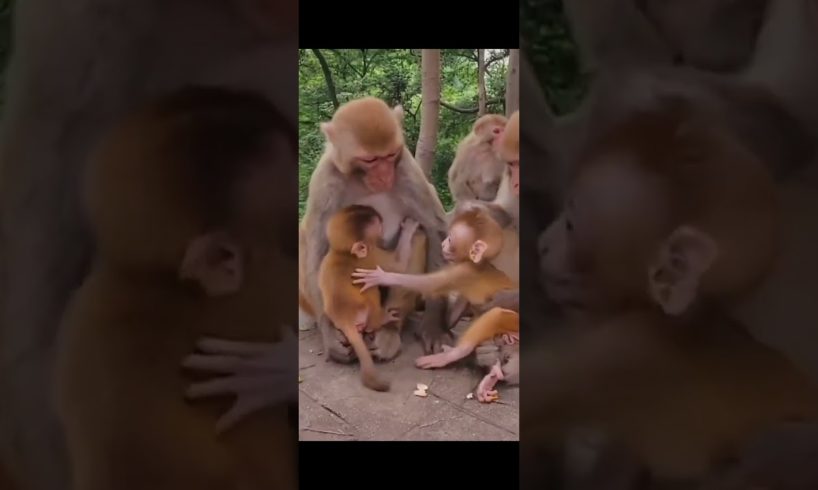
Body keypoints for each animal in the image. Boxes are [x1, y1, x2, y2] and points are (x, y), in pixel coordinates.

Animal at [299, 96, 450, 365]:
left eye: (390, 156)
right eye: (370, 160)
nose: (384, 176)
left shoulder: (406, 169)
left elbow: (435, 228)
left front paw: (433, 326)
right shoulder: (324, 180)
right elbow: (316, 248)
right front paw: (329, 334)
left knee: (419, 235)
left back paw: (387, 331)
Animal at [318, 204, 420, 392]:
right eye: (378, 230)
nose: (383, 237)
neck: (343, 252)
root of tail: (345, 320)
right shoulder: (373, 255)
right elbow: (398, 266)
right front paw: (409, 229)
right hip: (367, 313)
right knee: (372, 292)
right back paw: (383, 318)